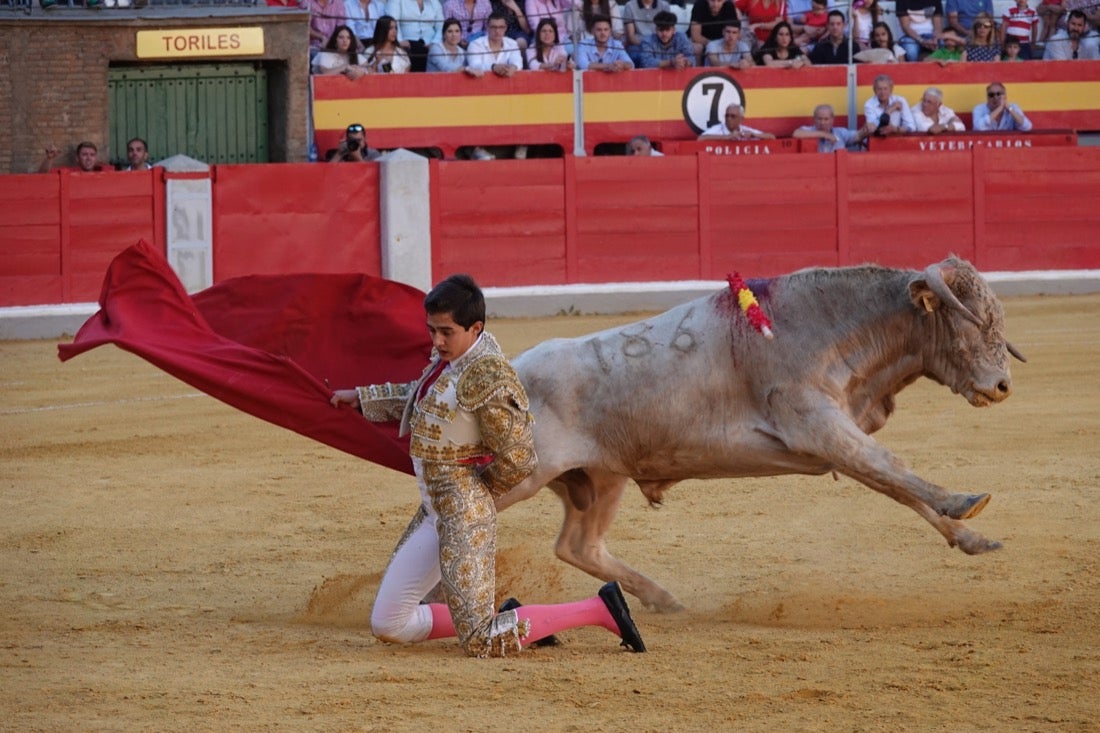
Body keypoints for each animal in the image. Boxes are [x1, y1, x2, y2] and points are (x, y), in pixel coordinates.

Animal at [497, 256, 1020, 611]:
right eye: (973, 320)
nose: (1002, 385)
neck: (835, 327)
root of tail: (513, 369)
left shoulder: (837, 435)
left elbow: (895, 485)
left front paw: (971, 537)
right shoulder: (816, 422)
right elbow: (891, 466)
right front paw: (963, 501)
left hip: (601, 479)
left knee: (578, 546)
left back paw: (664, 599)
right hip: (525, 476)